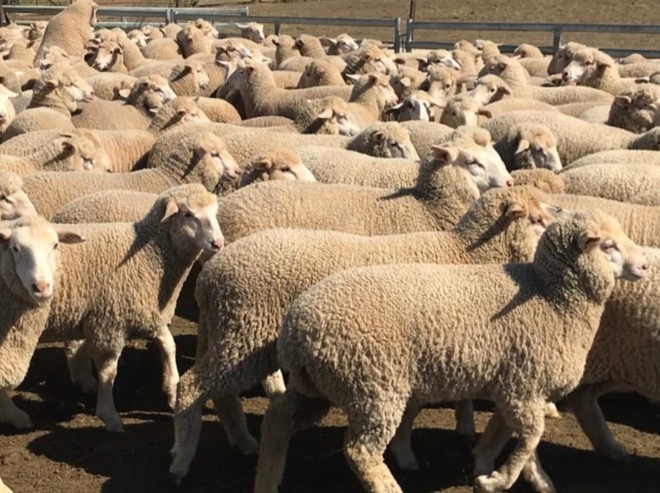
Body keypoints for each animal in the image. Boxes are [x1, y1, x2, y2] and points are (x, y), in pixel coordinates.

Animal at [38, 185, 223, 432]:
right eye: (187, 214)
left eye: (214, 212)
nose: (218, 243)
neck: (151, 253)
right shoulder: (109, 320)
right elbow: (109, 370)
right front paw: (109, 415)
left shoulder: (145, 310)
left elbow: (169, 344)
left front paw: (172, 390)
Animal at [170, 185, 562, 480]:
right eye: (537, 220)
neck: (464, 252)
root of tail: (210, 277)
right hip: (244, 333)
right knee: (191, 386)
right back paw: (182, 458)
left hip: (233, 336)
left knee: (220, 393)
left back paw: (243, 443)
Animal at [253, 210, 646, 493]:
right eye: (607, 246)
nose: (644, 265)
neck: (551, 297)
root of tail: (296, 331)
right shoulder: (523, 386)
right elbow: (530, 437)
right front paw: (498, 480)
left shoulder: (513, 385)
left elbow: (512, 436)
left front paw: (511, 474)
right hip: (373, 388)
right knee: (360, 452)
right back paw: (389, 488)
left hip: (316, 386)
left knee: (277, 421)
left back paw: (267, 481)